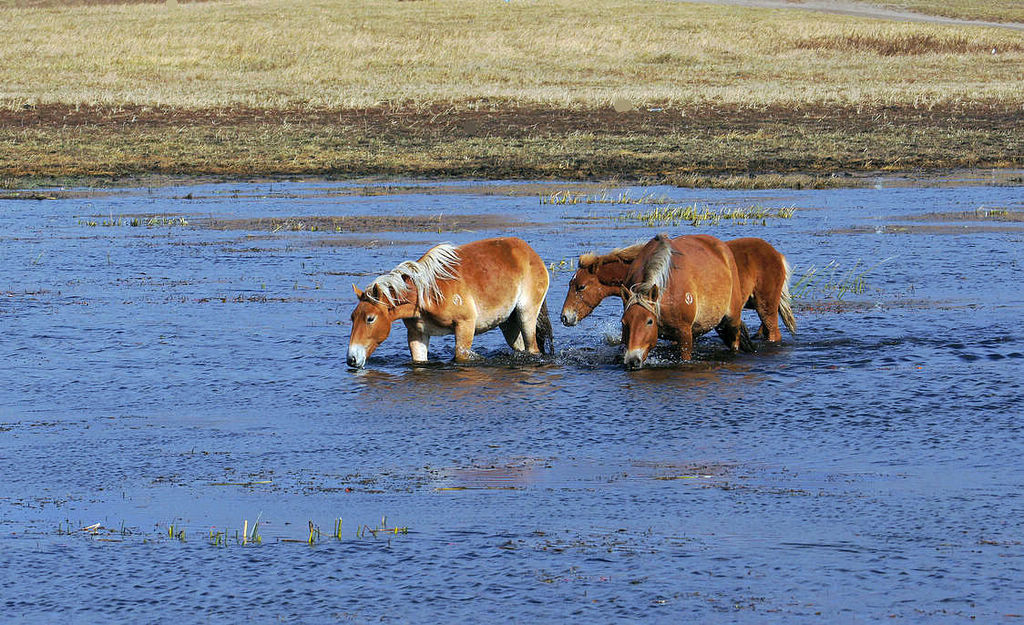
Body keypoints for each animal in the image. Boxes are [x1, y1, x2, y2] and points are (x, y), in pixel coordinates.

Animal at [346, 235, 557, 366]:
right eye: (352, 317)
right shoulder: (417, 335)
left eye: (370, 318)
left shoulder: (465, 326)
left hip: (526, 314)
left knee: (533, 348)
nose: (352, 359)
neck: (427, 293)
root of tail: (531, 253)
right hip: (508, 323)